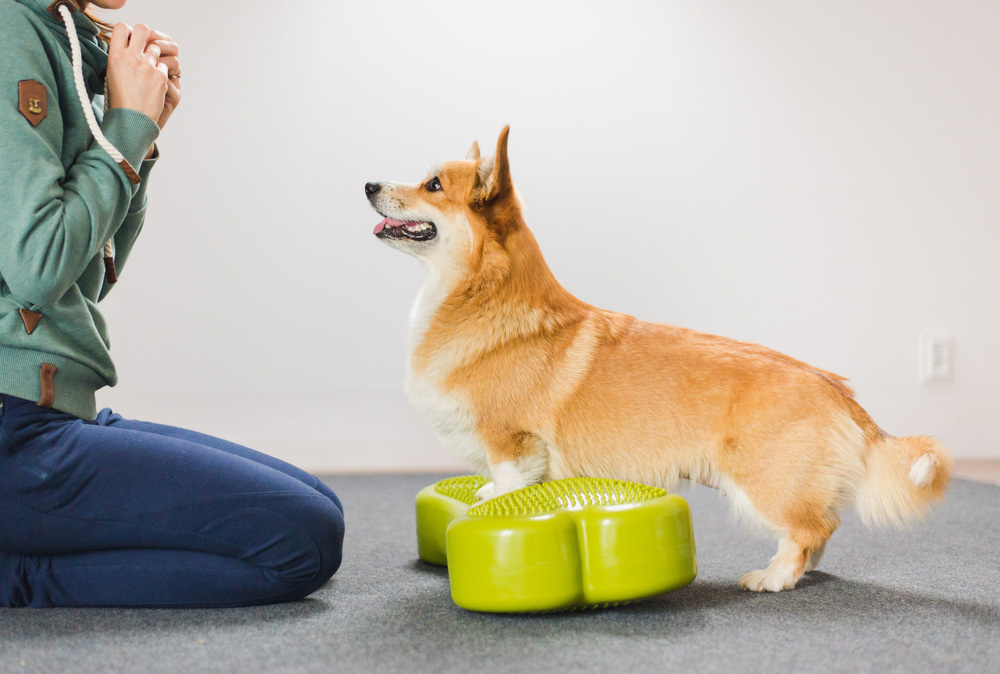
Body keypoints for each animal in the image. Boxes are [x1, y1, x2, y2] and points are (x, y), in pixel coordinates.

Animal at [368, 126, 952, 588]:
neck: (482, 296)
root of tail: (837, 389)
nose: (368, 185)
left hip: (762, 483)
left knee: (814, 528)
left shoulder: (513, 446)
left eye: (433, 185)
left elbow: (507, 491)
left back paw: (774, 577)